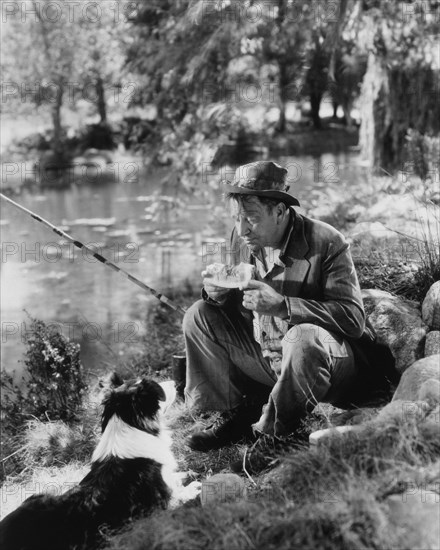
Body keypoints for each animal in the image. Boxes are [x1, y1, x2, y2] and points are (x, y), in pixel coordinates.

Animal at [0, 376, 199, 550]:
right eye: (156, 386)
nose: (174, 383)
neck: (131, 424)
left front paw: (186, 474)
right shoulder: (160, 504)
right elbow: (179, 492)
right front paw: (195, 486)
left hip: (35, 497)